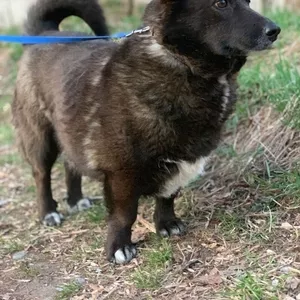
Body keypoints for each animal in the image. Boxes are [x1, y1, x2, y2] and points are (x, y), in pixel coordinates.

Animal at [11, 0, 278, 262]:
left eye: (249, 2)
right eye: (221, 3)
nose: (275, 30)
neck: (182, 63)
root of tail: (45, 33)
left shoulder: (180, 159)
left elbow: (168, 196)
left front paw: (166, 223)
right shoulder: (121, 173)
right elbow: (125, 214)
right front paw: (119, 247)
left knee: (71, 164)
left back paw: (76, 200)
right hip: (41, 140)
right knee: (41, 176)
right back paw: (49, 212)